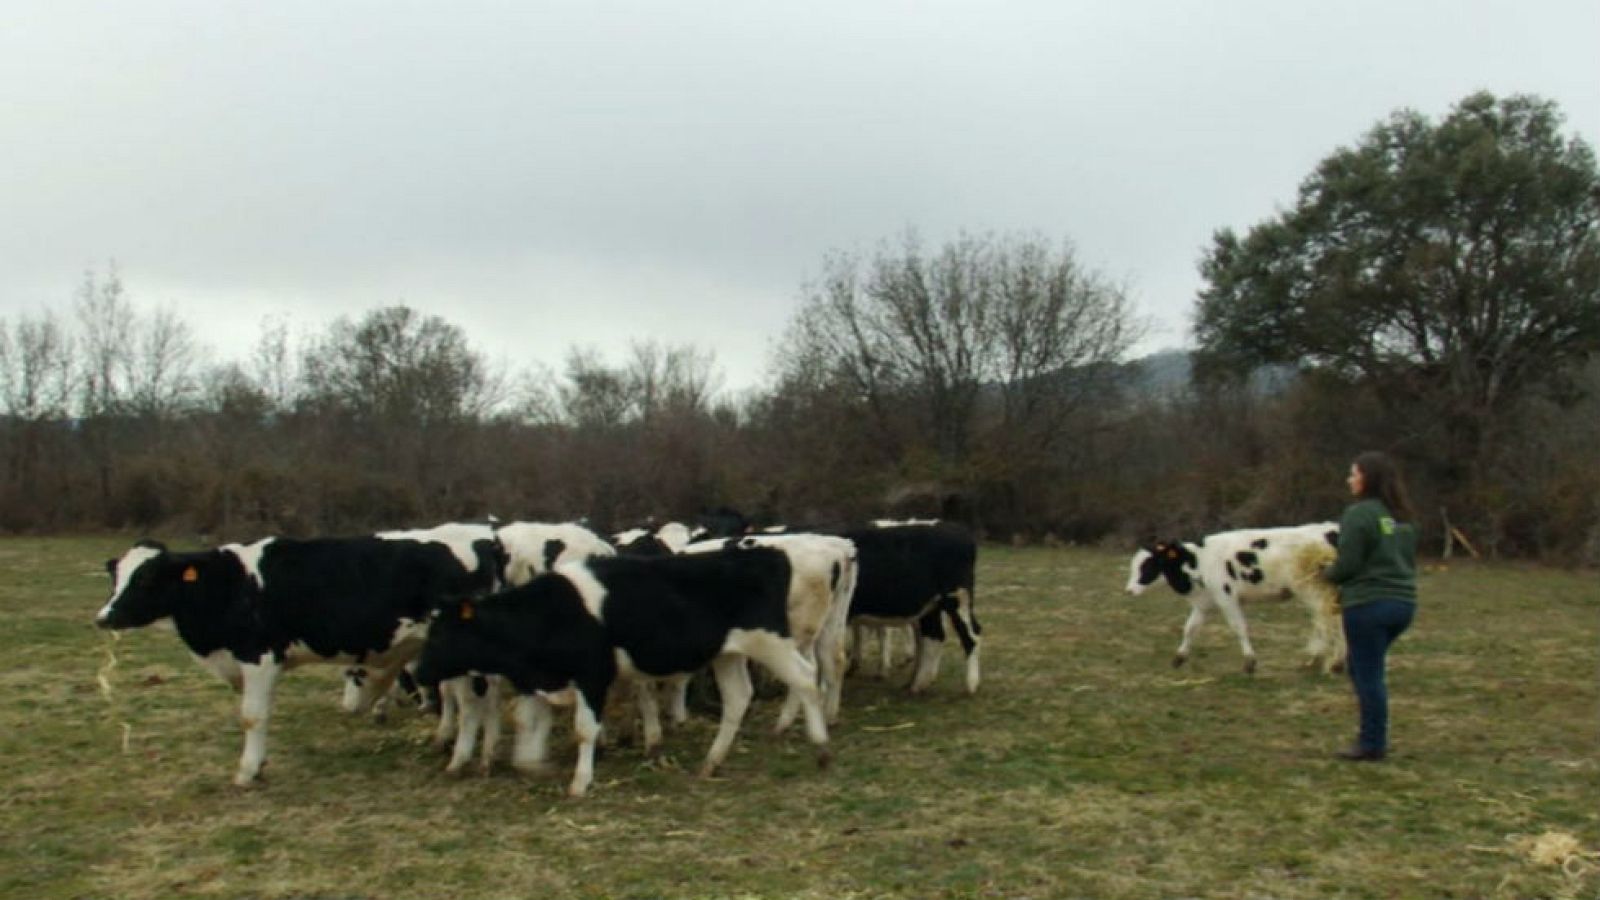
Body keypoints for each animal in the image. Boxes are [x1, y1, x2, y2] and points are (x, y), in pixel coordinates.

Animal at [94, 535, 487, 785]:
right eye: (116, 577)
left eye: (146, 578)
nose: (104, 618)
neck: (229, 585)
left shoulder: (258, 657)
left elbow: (252, 716)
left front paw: (247, 771)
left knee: (470, 704)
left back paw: (460, 759)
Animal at [413, 547, 832, 797]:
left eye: (443, 633)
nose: (418, 672)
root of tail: (766, 552)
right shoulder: (540, 679)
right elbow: (527, 723)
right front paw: (533, 764)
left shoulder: (592, 675)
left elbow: (585, 730)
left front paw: (580, 782)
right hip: (728, 653)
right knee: (738, 697)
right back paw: (711, 762)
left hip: (770, 641)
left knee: (806, 678)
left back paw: (821, 747)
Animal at [838, 522, 981, 694]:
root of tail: (958, 531)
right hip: (932, 606)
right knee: (935, 636)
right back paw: (918, 684)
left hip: (958, 597)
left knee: (971, 634)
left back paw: (971, 684)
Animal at [1125, 522, 1346, 674]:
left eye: (1148, 565)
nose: (1128, 591)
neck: (1199, 561)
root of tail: (1331, 528)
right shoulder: (1204, 604)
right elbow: (1190, 628)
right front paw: (1179, 657)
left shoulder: (1226, 598)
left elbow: (1239, 627)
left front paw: (1249, 662)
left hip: (1314, 591)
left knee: (1327, 621)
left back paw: (1325, 660)